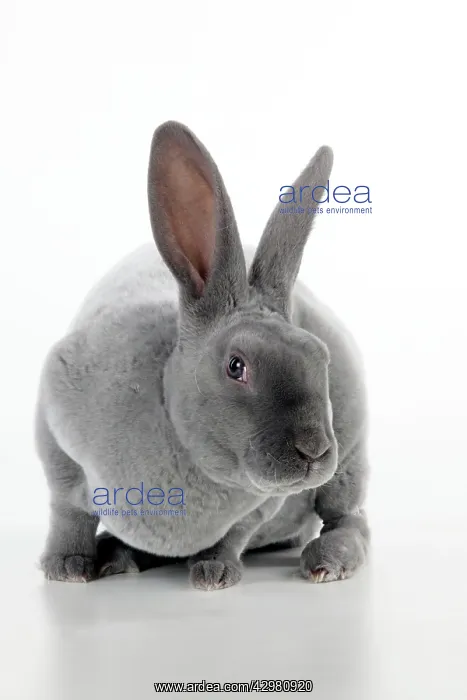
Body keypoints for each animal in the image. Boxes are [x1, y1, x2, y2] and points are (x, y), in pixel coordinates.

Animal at [36, 121, 370, 590]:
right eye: (236, 366)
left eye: (320, 357)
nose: (315, 450)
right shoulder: (55, 428)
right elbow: (68, 510)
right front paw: (66, 568)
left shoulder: (262, 503)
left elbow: (235, 533)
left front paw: (215, 573)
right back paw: (116, 554)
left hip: (351, 464)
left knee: (348, 519)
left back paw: (325, 562)